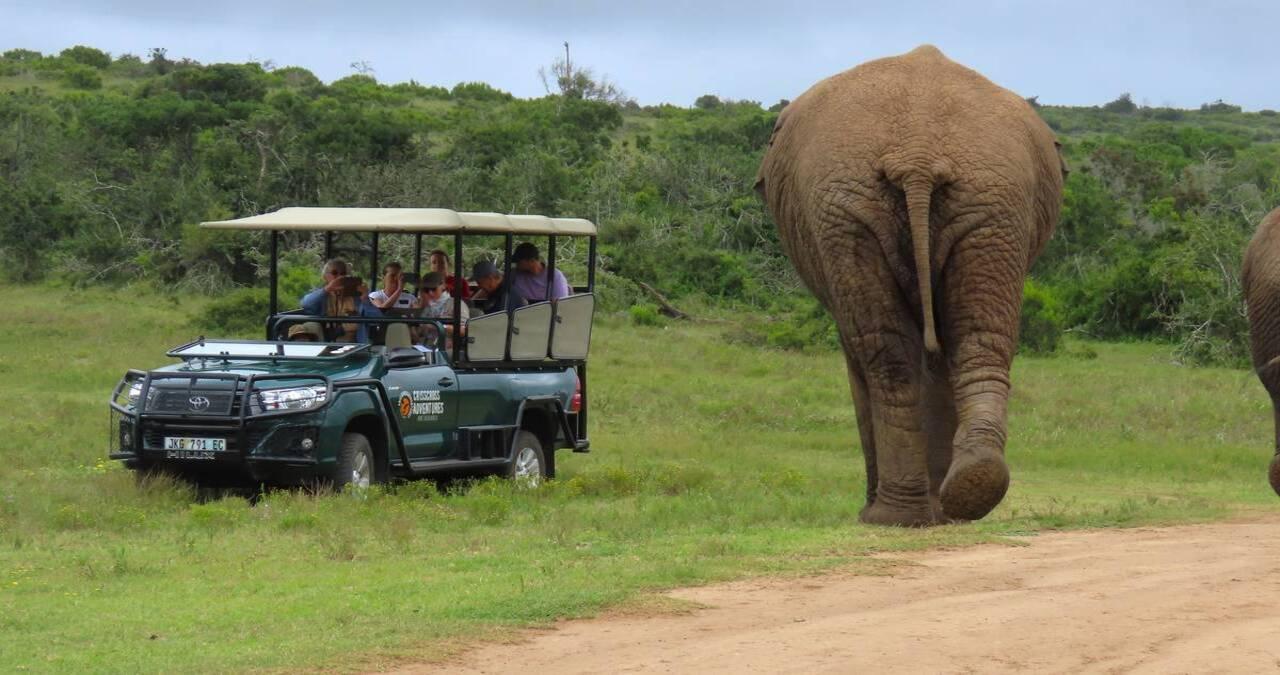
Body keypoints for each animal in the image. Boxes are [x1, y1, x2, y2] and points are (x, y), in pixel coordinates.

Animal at [755, 45, 1066, 526]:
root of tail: (918, 155)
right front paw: (942, 508)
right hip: (991, 204)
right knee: (977, 340)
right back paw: (971, 487)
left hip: (850, 211)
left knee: (885, 355)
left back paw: (888, 516)